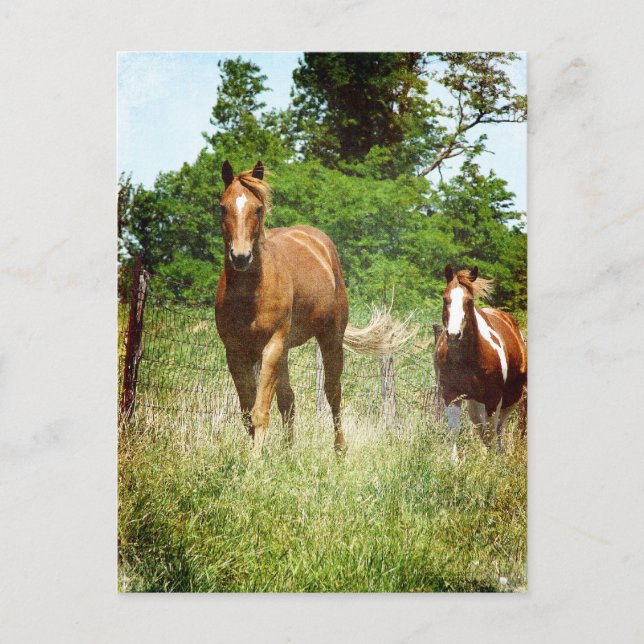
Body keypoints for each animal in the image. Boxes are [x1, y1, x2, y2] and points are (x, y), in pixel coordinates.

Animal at [215, 160, 405, 452]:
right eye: (223, 207)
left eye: (258, 208)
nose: (241, 256)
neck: (251, 294)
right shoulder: (235, 352)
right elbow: (248, 412)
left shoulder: (272, 345)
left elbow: (260, 411)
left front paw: (254, 460)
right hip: (283, 353)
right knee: (288, 400)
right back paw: (288, 451)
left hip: (329, 339)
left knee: (332, 392)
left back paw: (340, 449)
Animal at [434, 265, 527, 461]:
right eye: (445, 298)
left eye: (469, 301)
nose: (453, 335)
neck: (467, 360)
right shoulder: (451, 394)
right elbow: (455, 429)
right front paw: (454, 461)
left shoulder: (494, 398)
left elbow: (491, 431)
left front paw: (488, 461)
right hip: (474, 402)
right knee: (481, 426)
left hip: (511, 397)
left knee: (499, 427)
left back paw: (498, 454)